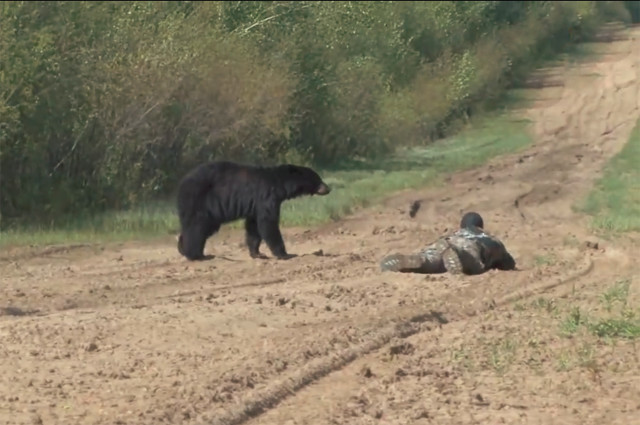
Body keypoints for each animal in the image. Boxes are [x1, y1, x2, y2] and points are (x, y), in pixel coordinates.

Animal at [178, 159, 332, 258]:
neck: (280, 184)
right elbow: (268, 222)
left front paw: (257, 253)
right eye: (318, 178)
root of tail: (182, 183)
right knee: (197, 227)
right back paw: (196, 254)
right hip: (200, 201)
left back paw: (183, 248)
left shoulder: (255, 205)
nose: (328, 188)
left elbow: (253, 226)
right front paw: (285, 254)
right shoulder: (266, 197)